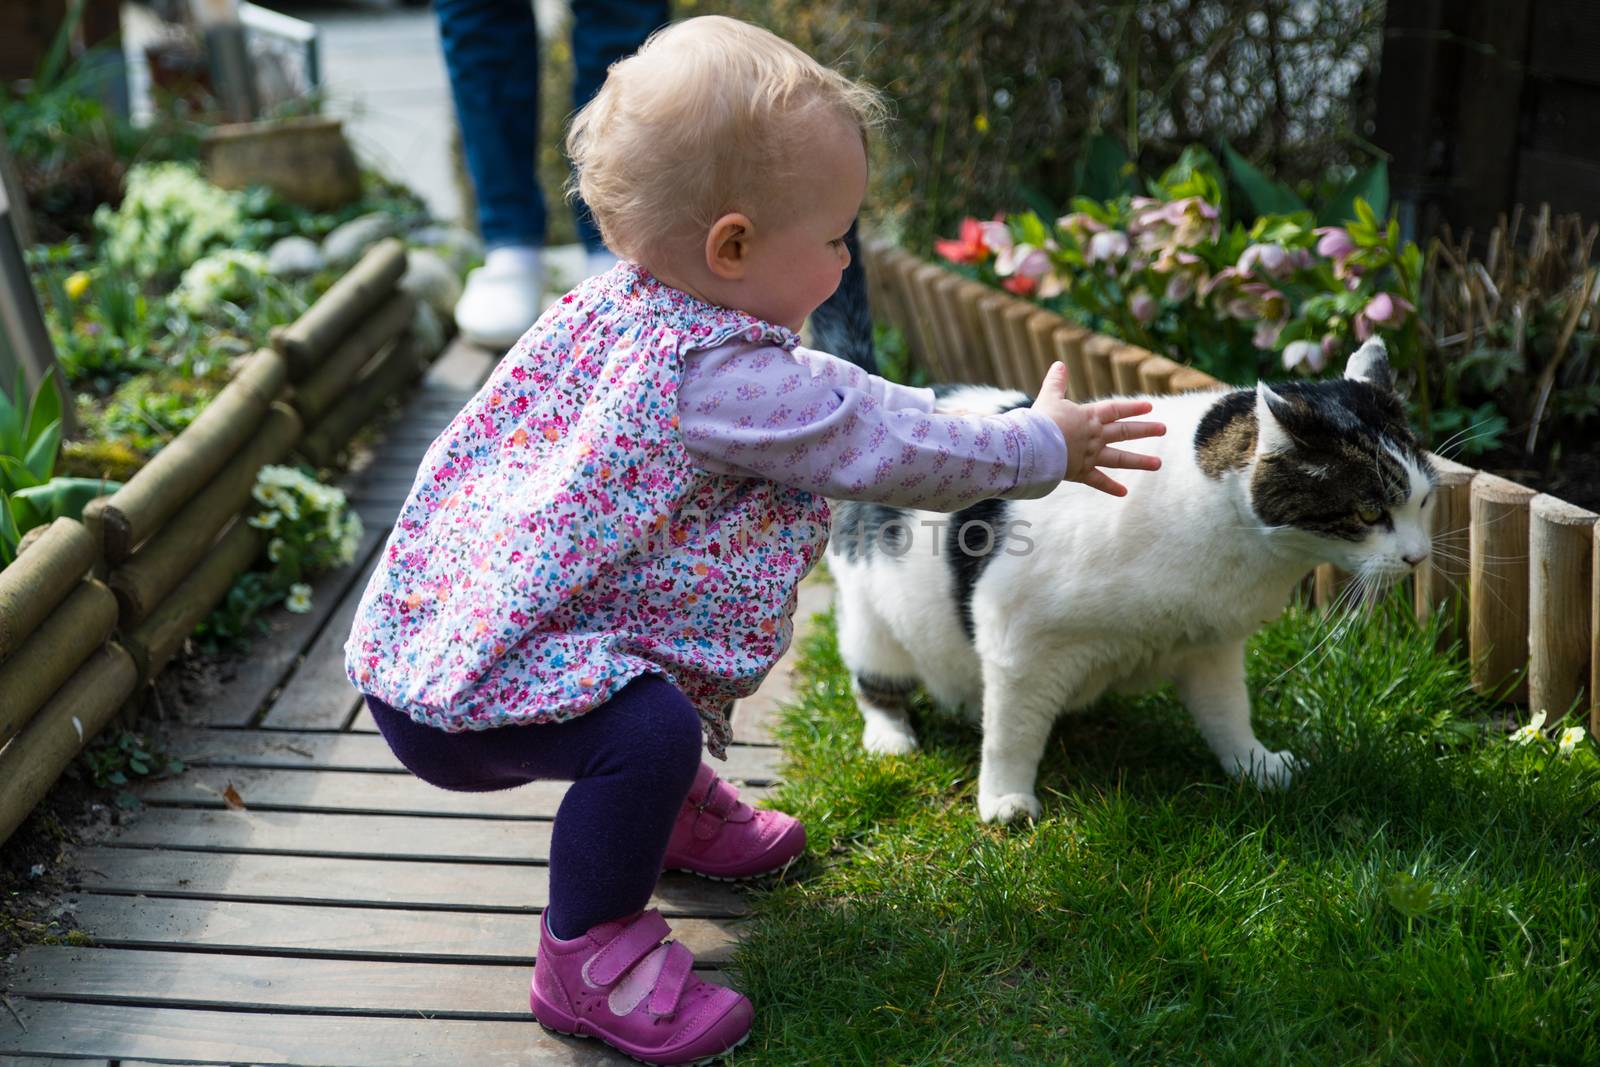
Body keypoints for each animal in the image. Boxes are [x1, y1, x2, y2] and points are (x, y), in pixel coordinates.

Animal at [825, 337, 1440, 825]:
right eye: (1368, 513)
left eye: (1424, 501)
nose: (1418, 557)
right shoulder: (1017, 642)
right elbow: (1012, 734)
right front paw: (1004, 800)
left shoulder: (1211, 647)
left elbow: (1228, 714)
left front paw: (1257, 767)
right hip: (875, 630)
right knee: (873, 685)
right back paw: (891, 738)